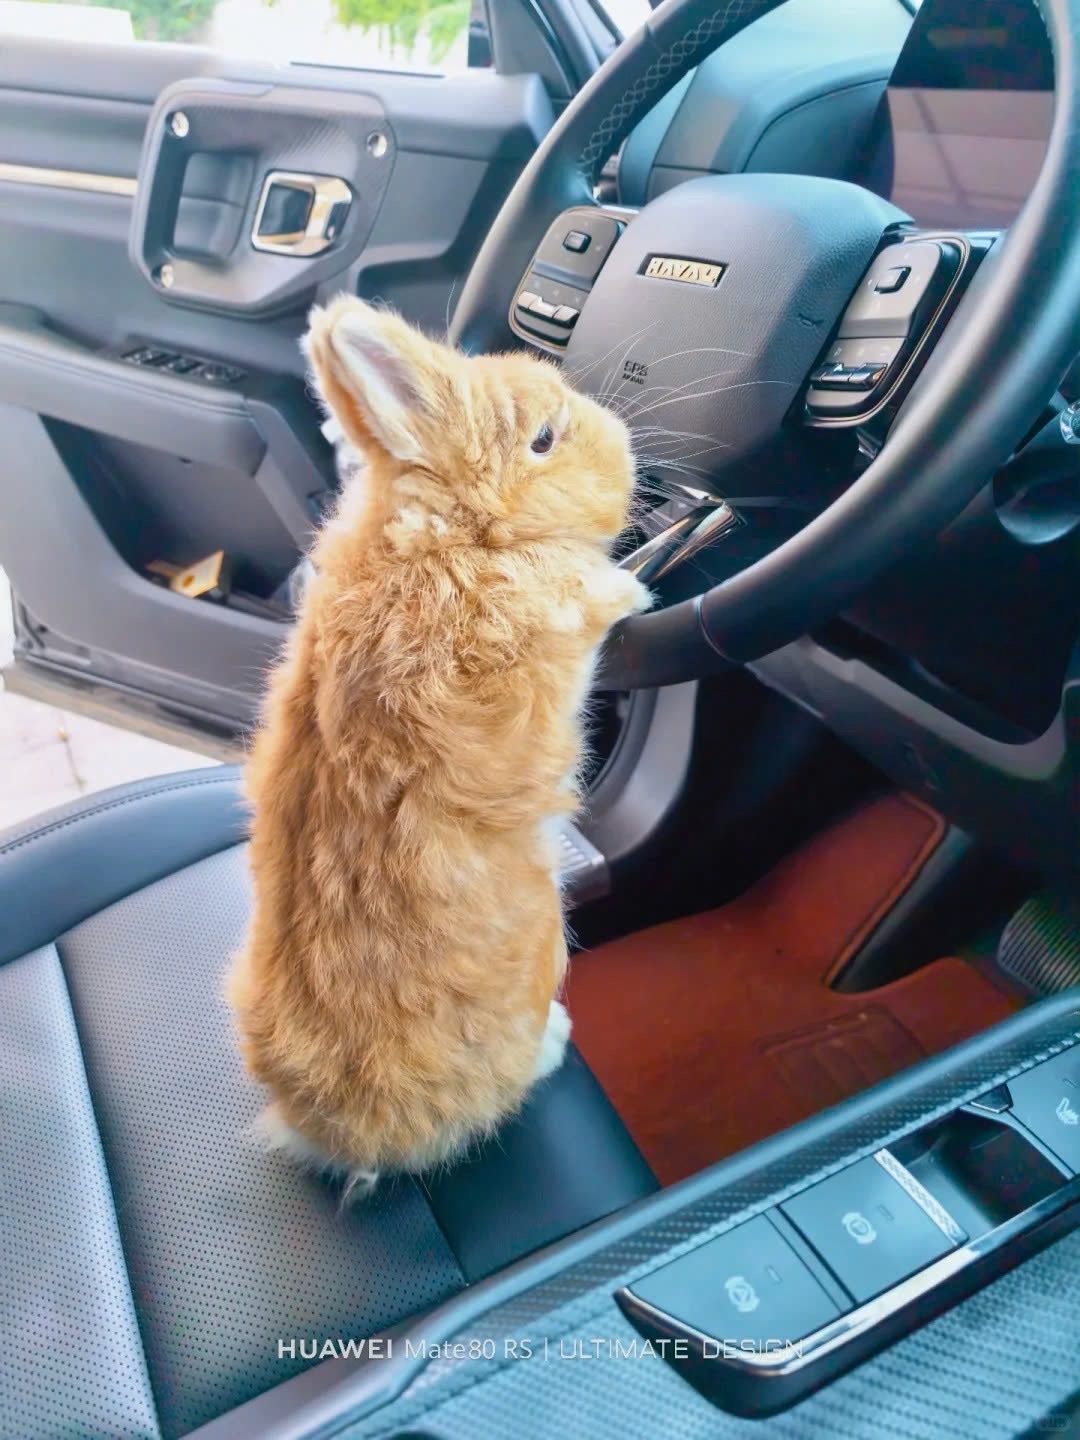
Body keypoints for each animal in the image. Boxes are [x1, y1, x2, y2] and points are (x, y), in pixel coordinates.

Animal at [227, 295, 650, 1191]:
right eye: (544, 439)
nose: (624, 442)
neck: (460, 533)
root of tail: (342, 1137)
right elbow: (591, 596)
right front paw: (634, 586)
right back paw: (556, 1042)